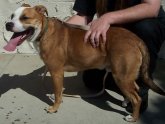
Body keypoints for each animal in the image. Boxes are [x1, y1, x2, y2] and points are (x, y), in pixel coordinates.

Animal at [4, 4, 165, 122]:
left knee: (137, 98)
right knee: (135, 88)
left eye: (25, 18)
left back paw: (133, 117)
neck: (44, 31)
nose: (8, 24)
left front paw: (54, 108)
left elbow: (56, 92)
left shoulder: (56, 72)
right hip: (125, 75)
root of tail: (135, 39)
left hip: (121, 76)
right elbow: (59, 92)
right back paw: (126, 101)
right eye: (12, 16)